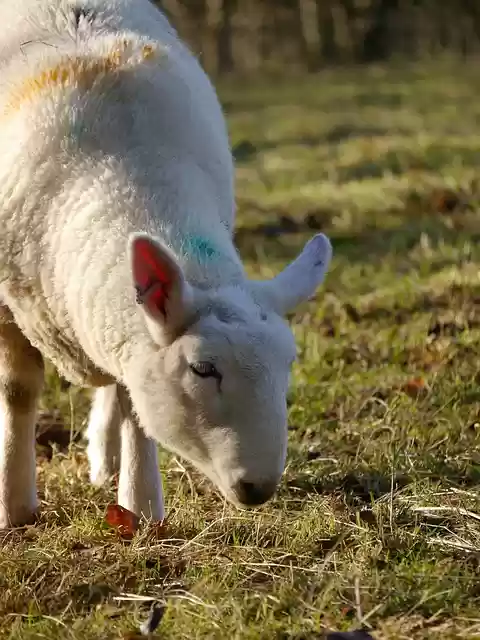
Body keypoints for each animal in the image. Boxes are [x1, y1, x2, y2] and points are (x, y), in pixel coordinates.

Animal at [0, 0, 333, 529]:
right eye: (202, 369)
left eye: (289, 364)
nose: (260, 488)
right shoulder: (8, 301)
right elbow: (18, 391)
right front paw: (14, 506)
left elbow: (136, 404)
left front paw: (139, 507)